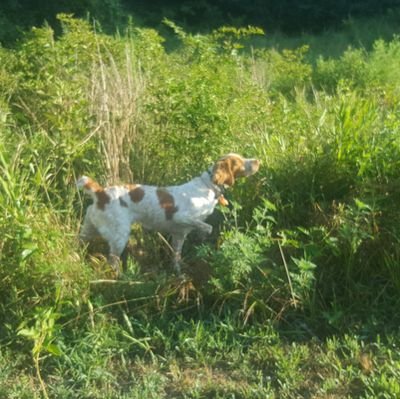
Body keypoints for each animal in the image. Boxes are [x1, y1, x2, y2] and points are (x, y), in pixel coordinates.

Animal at [77, 153, 260, 276]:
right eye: (239, 161)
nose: (257, 161)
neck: (207, 187)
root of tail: (100, 193)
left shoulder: (179, 234)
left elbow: (176, 256)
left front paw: (178, 273)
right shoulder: (182, 217)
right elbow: (207, 227)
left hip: (87, 231)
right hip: (119, 236)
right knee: (113, 262)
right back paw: (121, 278)